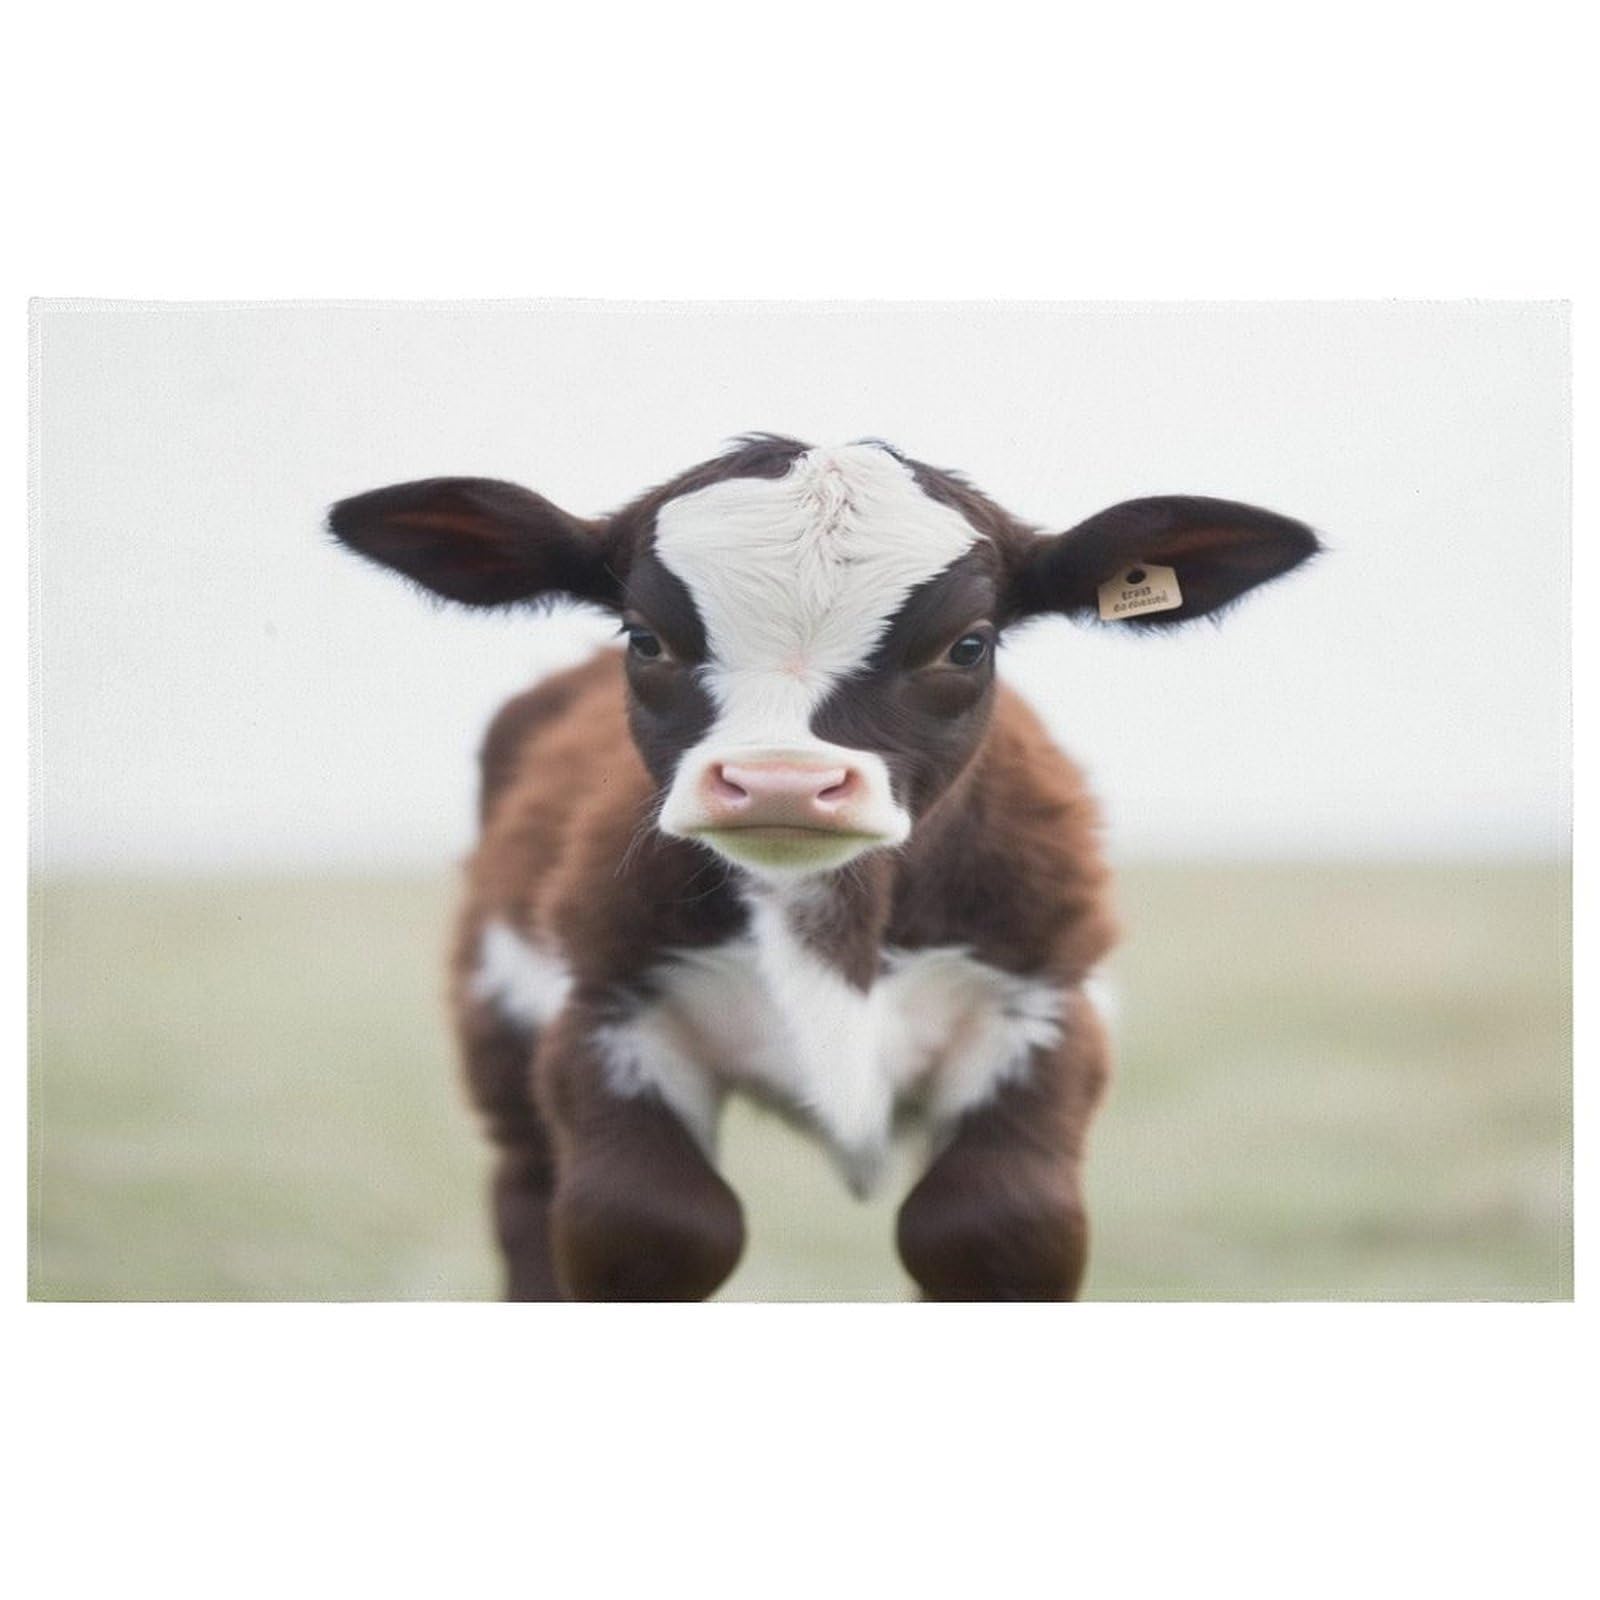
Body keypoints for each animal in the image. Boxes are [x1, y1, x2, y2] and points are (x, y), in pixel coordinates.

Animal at [330, 435, 1317, 1301]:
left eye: (968, 644)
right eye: (645, 638)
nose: (782, 781)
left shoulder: (1044, 1007)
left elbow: (991, 1227)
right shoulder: (605, 1010)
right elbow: (651, 1226)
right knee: (527, 1198)